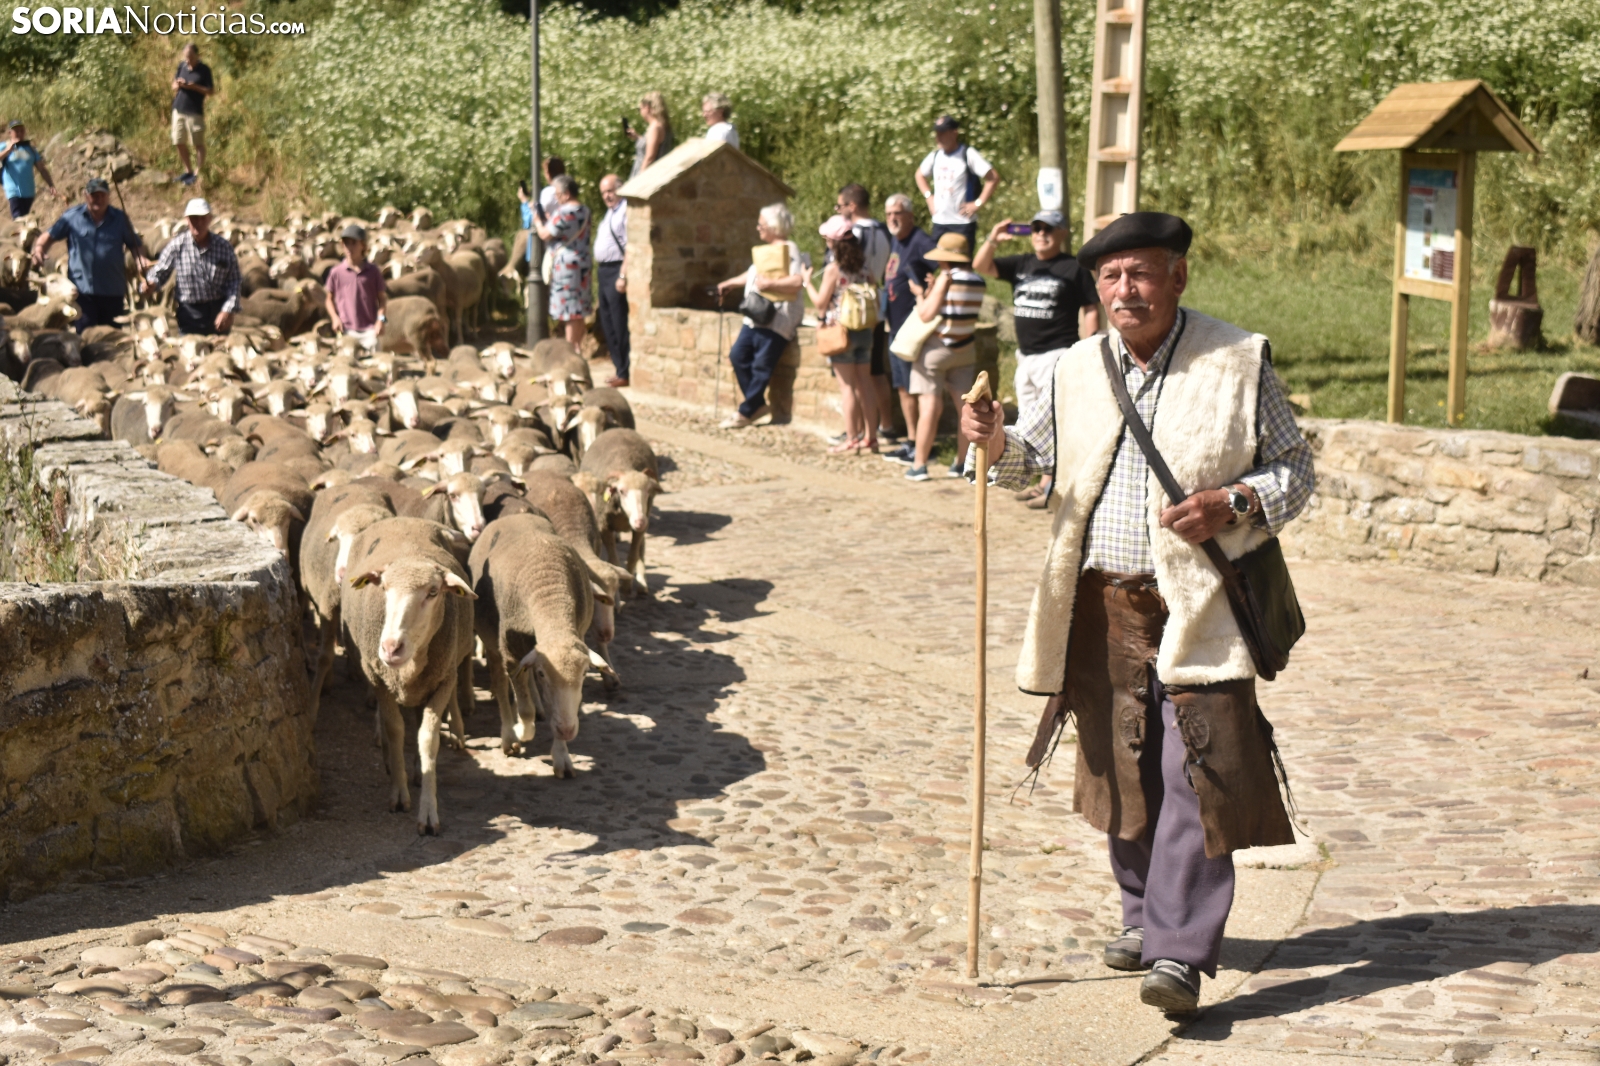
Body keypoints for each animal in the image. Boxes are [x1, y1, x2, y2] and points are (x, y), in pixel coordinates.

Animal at [343, 516, 476, 833]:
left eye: (433, 592)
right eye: (384, 588)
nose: (391, 647)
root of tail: (404, 518)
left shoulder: (442, 681)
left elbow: (427, 738)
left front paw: (428, 812)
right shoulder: (379, 680)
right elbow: (395, 730)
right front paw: (399, 793)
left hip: (436, 678)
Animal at [468, 514, 601, 775]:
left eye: (585, 674)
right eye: (542, 673)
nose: (568, 730)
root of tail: (513, 515)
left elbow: (554, 708)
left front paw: (562, 756)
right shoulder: (510, 654)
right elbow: (525, 709)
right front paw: (522, 731)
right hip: (493, 643)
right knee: (500, 685)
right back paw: (509, 736)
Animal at [577, 427, 661, 593]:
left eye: (648, 491)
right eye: (621, 491)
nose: (640, 521)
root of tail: (618, 429)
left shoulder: (641, 527)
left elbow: (633, 556)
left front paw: (627, 587)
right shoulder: (604, 526)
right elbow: (614, 560)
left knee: (642, 549)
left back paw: (642, 583)